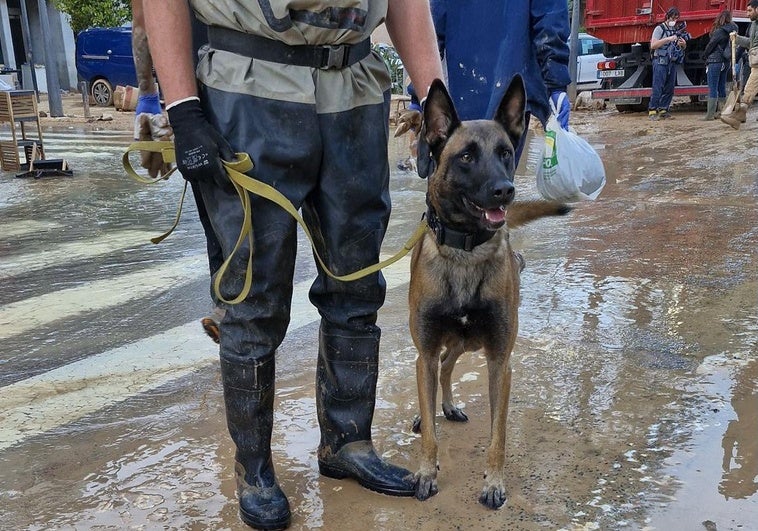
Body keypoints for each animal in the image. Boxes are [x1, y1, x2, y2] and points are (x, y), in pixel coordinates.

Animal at [410, 77, 568, 510]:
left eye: (505, 154)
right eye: (466, 156)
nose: (505, 190)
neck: (466, 251)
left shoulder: (500, 361)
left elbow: (499, 435)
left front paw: (494, 482)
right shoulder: (425, 350)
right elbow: (430, 432)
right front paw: (426, 472)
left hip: (467, 342)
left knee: (448, 364)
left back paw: (446, 404)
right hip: (446, 345)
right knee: (437, 369)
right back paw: (432, 410)